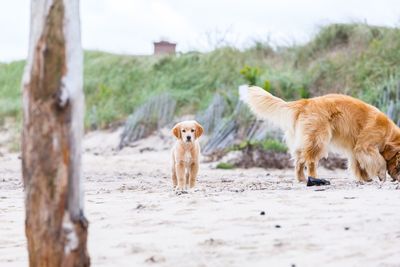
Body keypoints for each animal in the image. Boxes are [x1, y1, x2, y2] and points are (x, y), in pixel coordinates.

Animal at [247, 87, 400, 183]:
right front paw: (381, 175)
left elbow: (359, 165)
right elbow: (380, 160)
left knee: (299, 160)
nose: (398, 179)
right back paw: (314, 178)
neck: (388, 133)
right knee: (310, 161)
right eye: (399, 163)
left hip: (306, 140)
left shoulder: (355, 149)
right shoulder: (365, 147)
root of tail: (305, 102)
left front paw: (365, 178)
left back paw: (301, 178)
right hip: (319, 139)